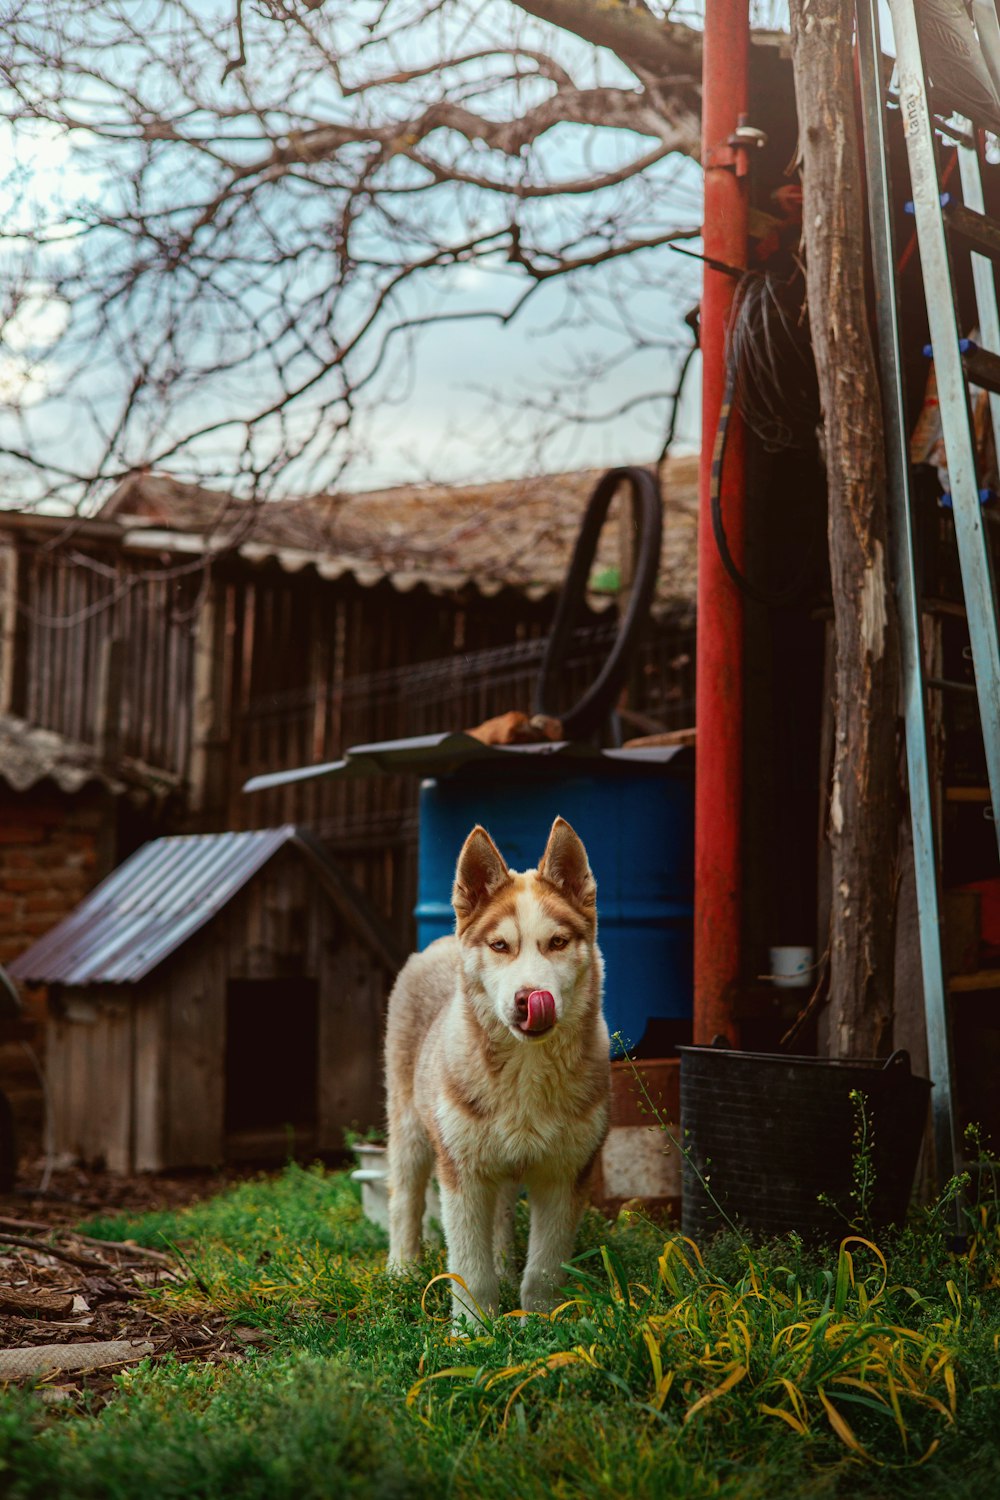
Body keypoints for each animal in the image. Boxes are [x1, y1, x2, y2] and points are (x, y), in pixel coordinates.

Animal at [383, 822, 611, 1326]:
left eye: (557, 942)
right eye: (500, 945)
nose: (531, 998)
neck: (526, 1070)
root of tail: (439, 942)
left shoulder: (565, 1173)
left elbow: (544, 1266)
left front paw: (541, 1324)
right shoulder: (462, 1172)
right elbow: (469, 1265)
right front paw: (472, 1331)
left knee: (502, 1217)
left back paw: (505, 1270)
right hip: (409, 1124)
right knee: (405, 1198)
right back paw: (401, 1269)